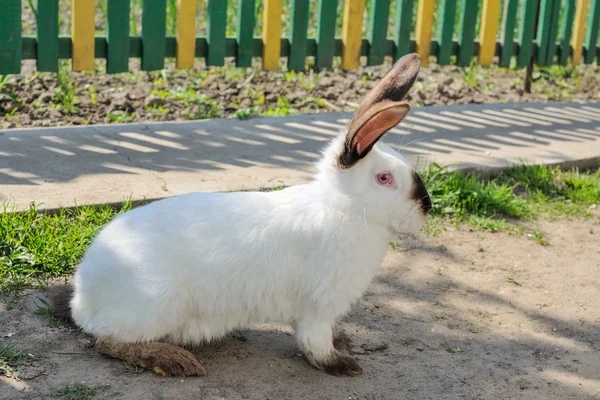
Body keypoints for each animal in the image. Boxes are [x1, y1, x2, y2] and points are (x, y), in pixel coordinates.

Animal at [49, 54, 428, 378]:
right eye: (384, 178)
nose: (426, 208)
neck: (341, 207)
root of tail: (83, 298)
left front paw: (344, 340)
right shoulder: (318, 306)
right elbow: (314, 343)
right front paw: (341, 364)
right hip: (155, 304)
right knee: (107, 341)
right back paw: (175, 361)